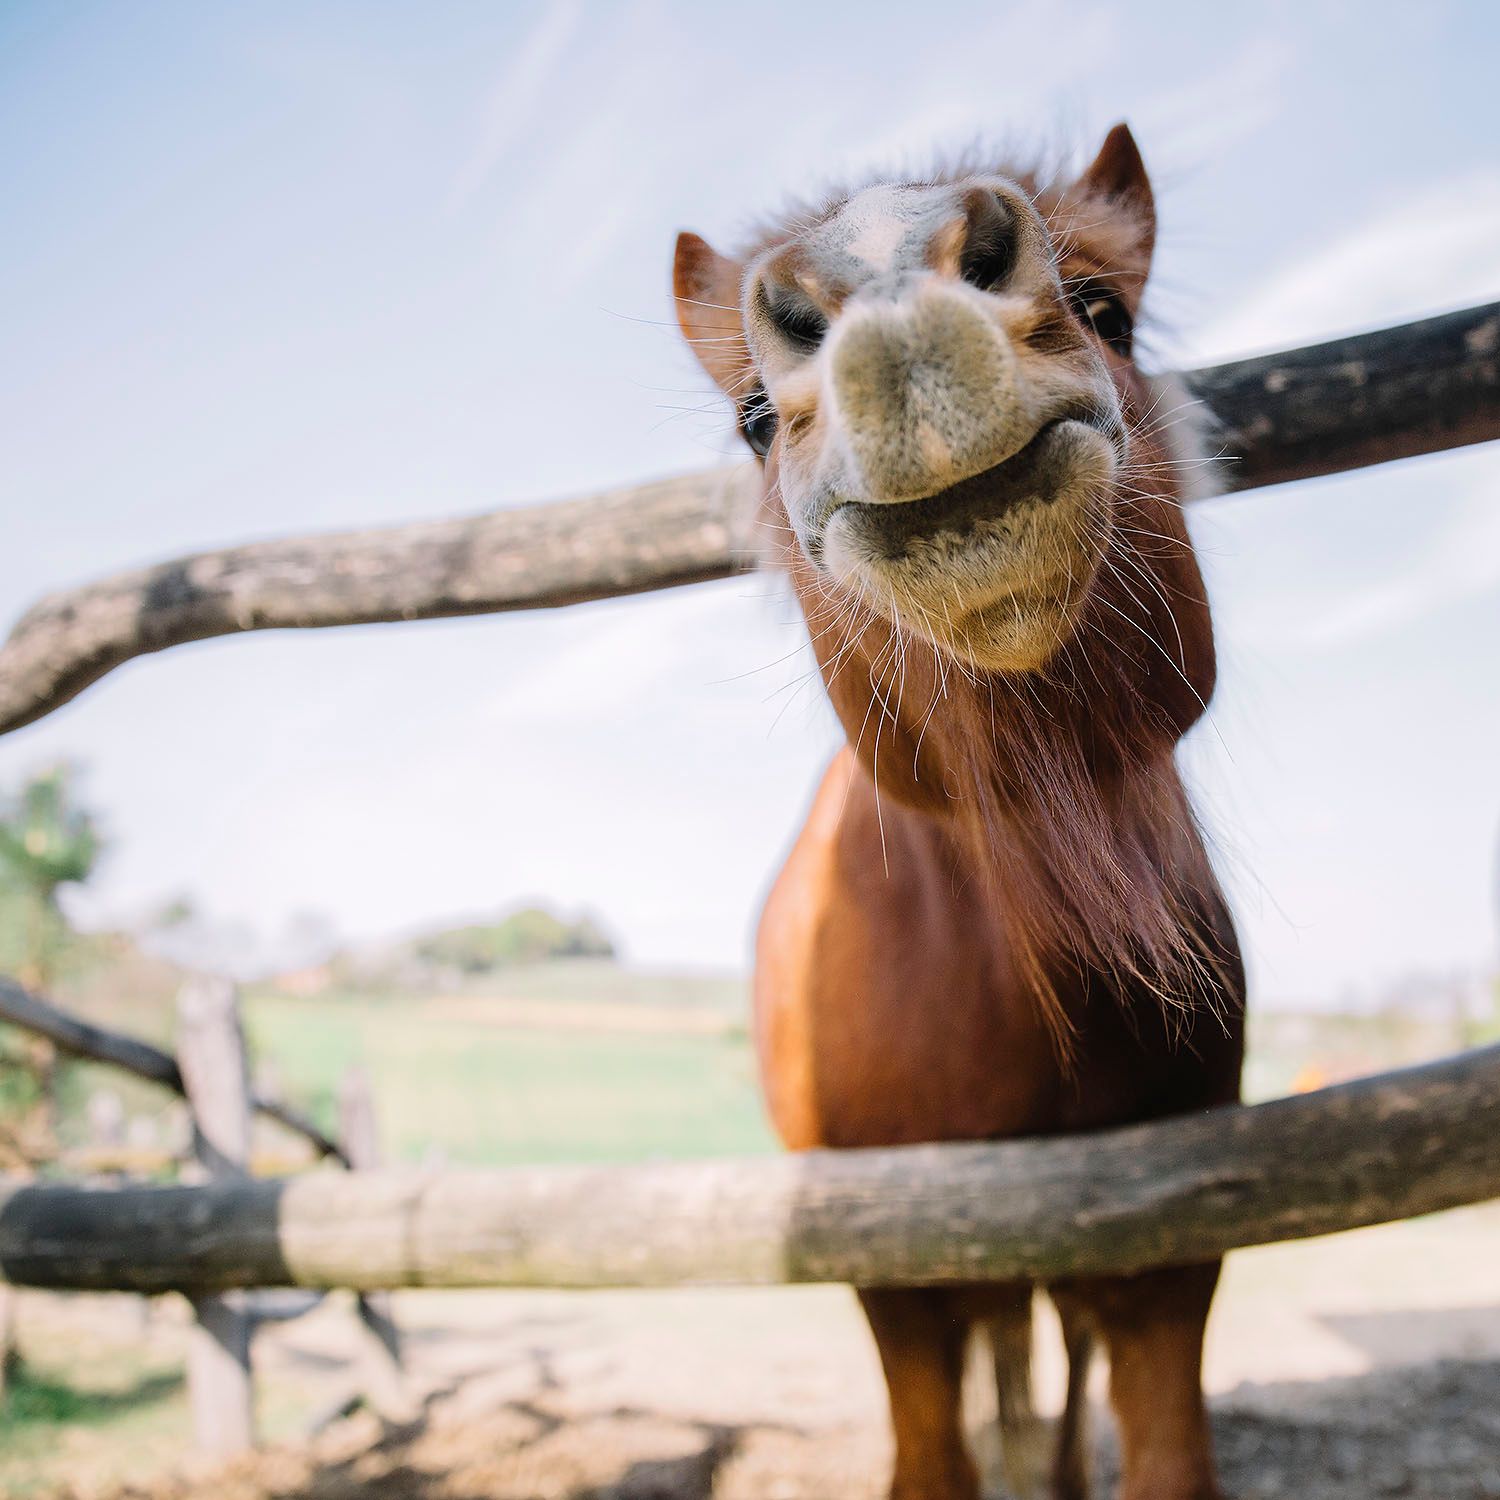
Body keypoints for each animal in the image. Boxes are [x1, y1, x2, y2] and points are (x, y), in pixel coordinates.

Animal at [672, 124, 1245, 1500]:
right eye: (752, 416)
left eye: (1107, 308)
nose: (885, 286)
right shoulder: (896, 1275)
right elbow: (932, 1454)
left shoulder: (1170, 1258)